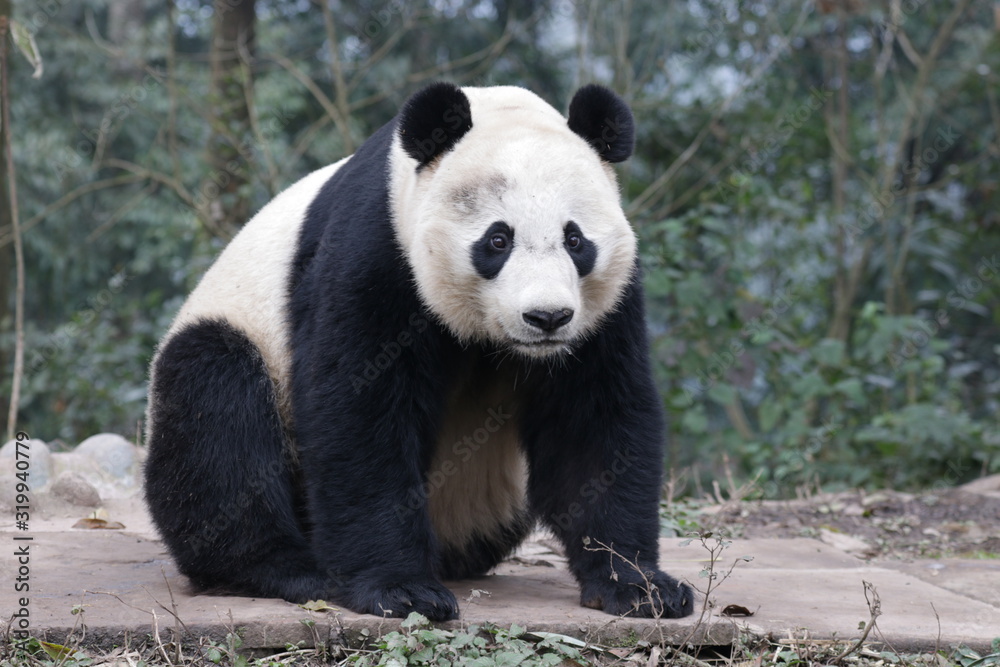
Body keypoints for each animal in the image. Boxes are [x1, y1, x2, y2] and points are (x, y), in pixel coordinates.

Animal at [144, 82, 694, 622]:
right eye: (498, 239)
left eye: (575, 240)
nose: (547, 318)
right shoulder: (377, 250)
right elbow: (358, 411)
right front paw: (402, 589)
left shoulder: (606, 306)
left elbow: (595, 420)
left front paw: (639, 585)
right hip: (235, 333)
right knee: (216, 412)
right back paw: (288, 571)